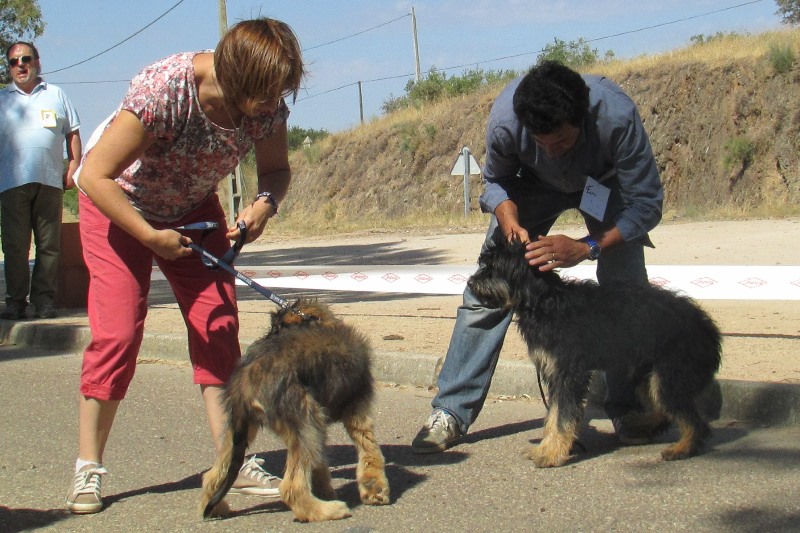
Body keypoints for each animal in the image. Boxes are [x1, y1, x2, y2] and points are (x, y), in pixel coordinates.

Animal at [198, 298, 390, 520]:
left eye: (274, 328)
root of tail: (246, 376)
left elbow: (319, 462)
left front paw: (324, 488)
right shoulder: (357, 411)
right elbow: (371, 453)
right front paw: (375, 489)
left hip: (243, 430)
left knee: (212, 475)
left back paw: (215, 509)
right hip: (306, 421)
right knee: (291, 487)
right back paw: (326, 510)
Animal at [468, 237, 724, 466]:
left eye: (495, 267)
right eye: (485, 263)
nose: (470, 283)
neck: (544, 301)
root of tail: (707, 327)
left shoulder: (570, 373)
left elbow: (562, 417)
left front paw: (551, 454)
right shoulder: (555, 373)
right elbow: (553, 415)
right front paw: (547, 448)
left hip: (669, 376)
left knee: (695, 422)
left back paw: (682, 448)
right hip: (649, 375)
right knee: (665, 411)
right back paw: (643, 425)